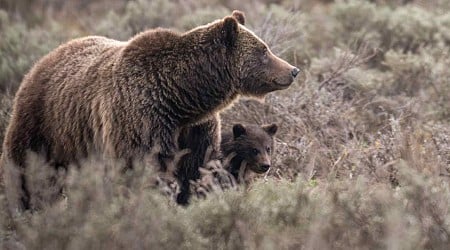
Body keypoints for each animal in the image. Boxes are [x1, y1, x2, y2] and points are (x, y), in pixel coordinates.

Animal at [1, 10, 300, 210]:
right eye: (264, 50)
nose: (293, 70)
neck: (182, 98)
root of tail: (43, 59)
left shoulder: (195, 129)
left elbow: (194, 169)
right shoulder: (142, 118)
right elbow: (142, 167)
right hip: (43, 122)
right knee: (28, 170)